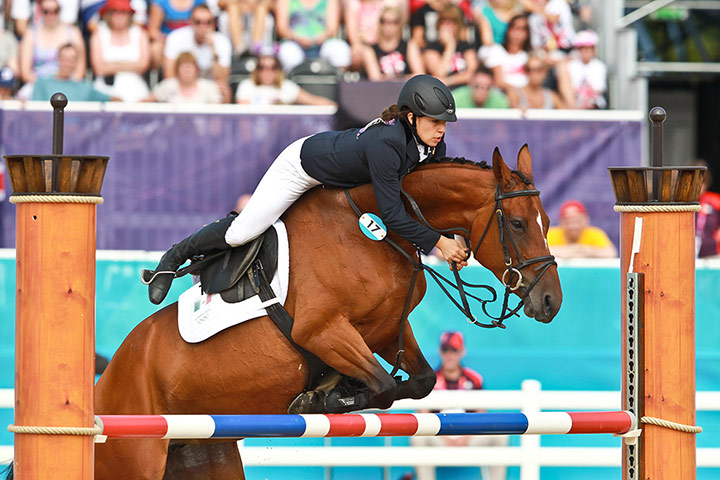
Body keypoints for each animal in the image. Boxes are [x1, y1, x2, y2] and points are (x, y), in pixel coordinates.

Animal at [92, 145, 562, 479]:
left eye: (546, 221)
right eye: (517, 224)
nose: (550, 303)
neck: (379, 231)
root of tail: (103, 385)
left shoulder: (385, 331)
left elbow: (420, 381)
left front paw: (326, 394)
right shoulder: (322, 331)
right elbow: (382, 386)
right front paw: (329, 396)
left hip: (202, 452)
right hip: (133, 457)